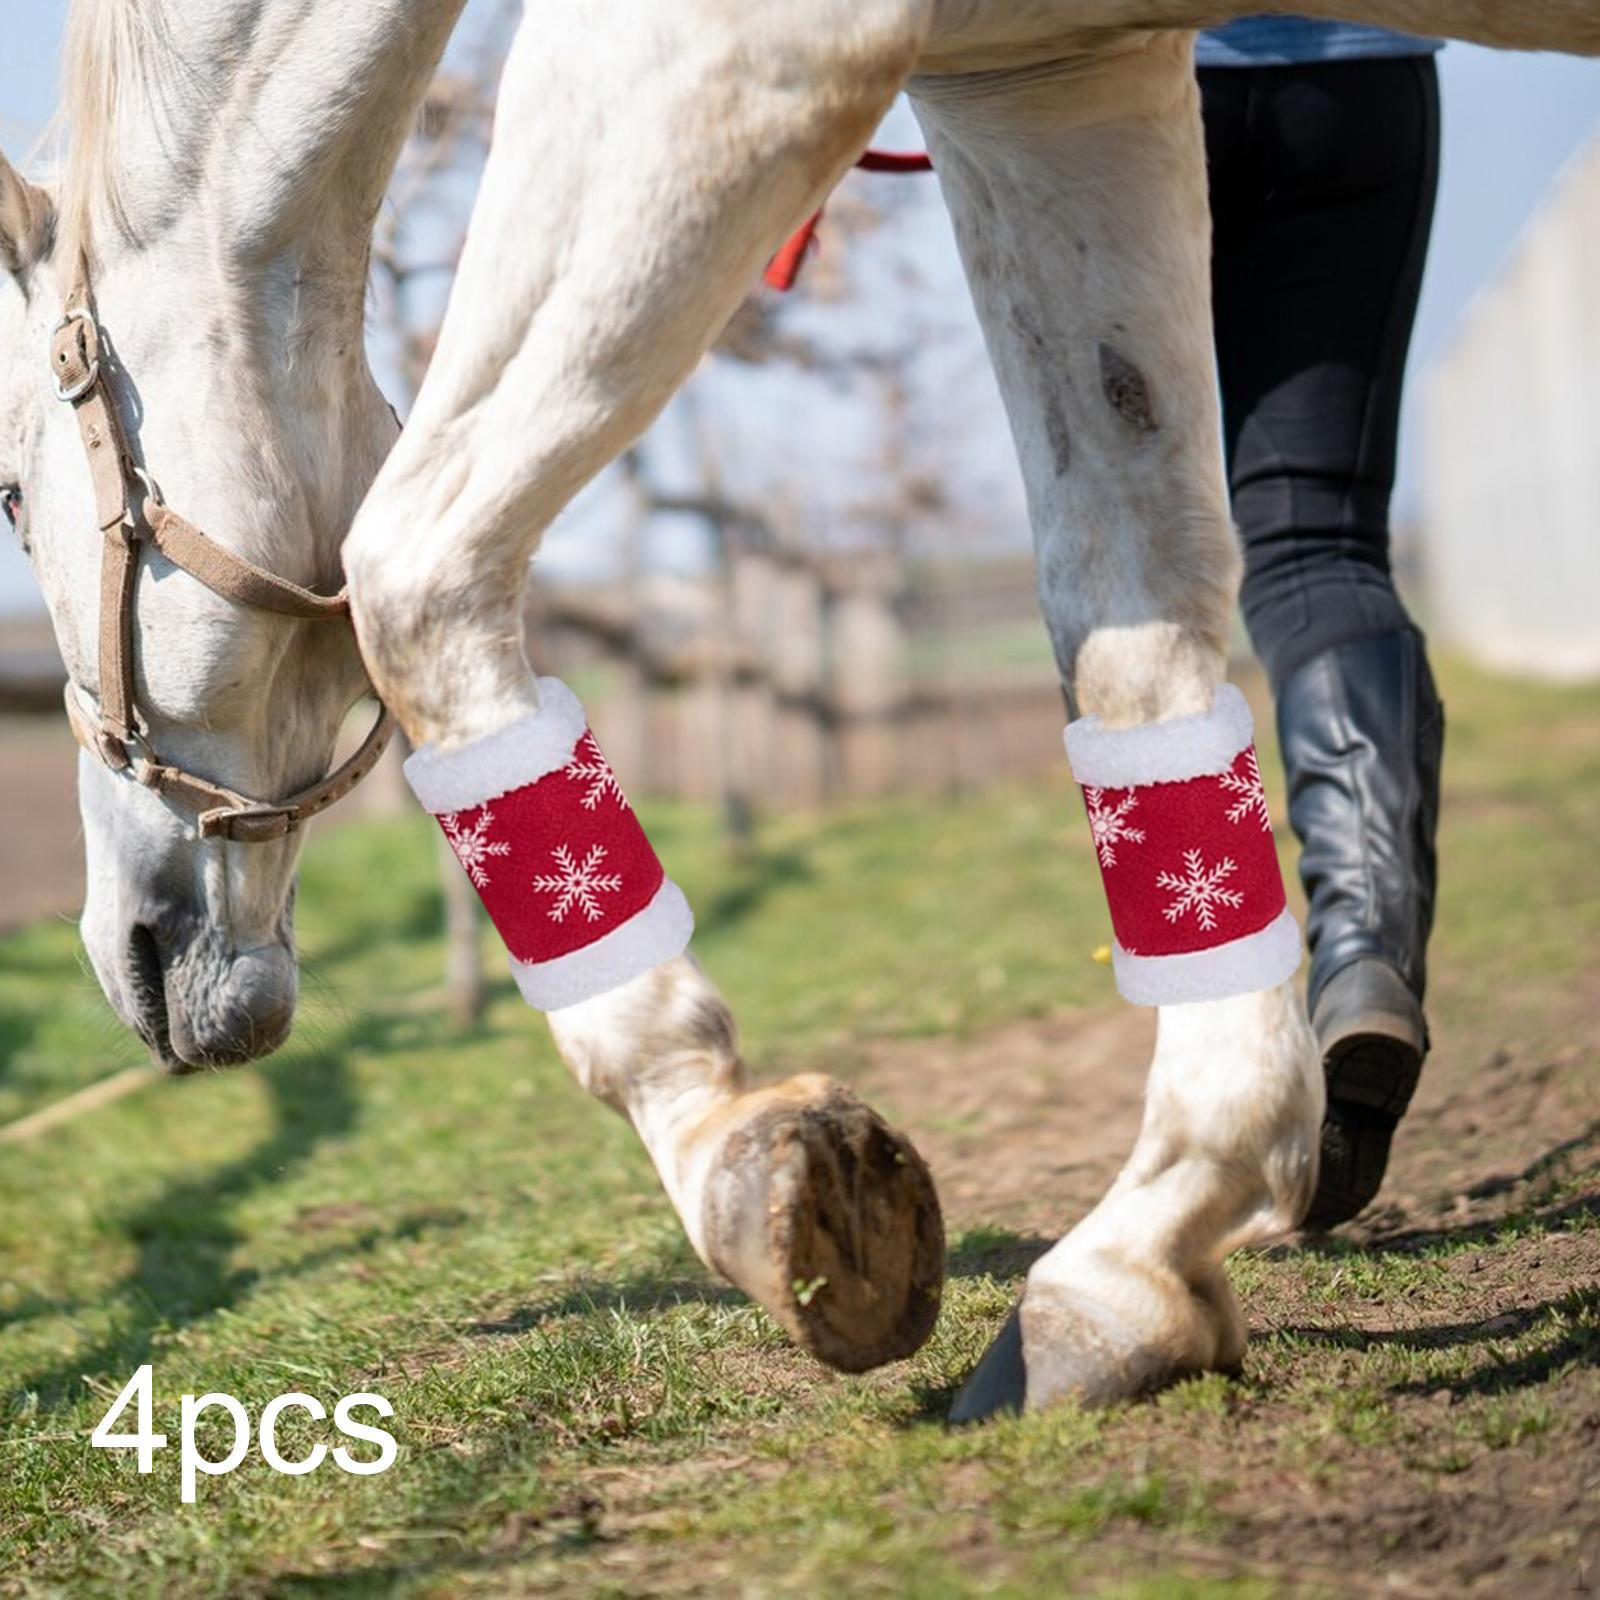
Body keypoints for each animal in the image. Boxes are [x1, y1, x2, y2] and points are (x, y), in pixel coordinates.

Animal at [1, 0, 1594, 1416]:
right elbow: (1130, 623)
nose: (122, 954)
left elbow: (415, 561)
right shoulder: (1051, 77)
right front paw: (1142, 1260)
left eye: (12, 497)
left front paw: (734, 1149)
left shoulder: (729, 48)